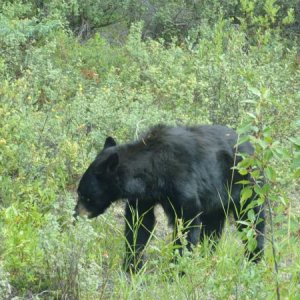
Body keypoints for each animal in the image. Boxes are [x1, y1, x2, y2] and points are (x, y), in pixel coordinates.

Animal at [74, 124, 264, 272]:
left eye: (84, 196)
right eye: (80, 193)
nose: (75, 216)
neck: (155, 172)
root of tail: (253, 147)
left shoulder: (182, 183)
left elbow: (187, 223)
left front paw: (177, 270)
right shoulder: (144, 196)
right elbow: (139, 223)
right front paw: (131, 265)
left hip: (247, 187)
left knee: (253, 221)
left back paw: (254, 260)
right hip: (217, 199)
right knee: (212, 228)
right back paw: (206, 258)